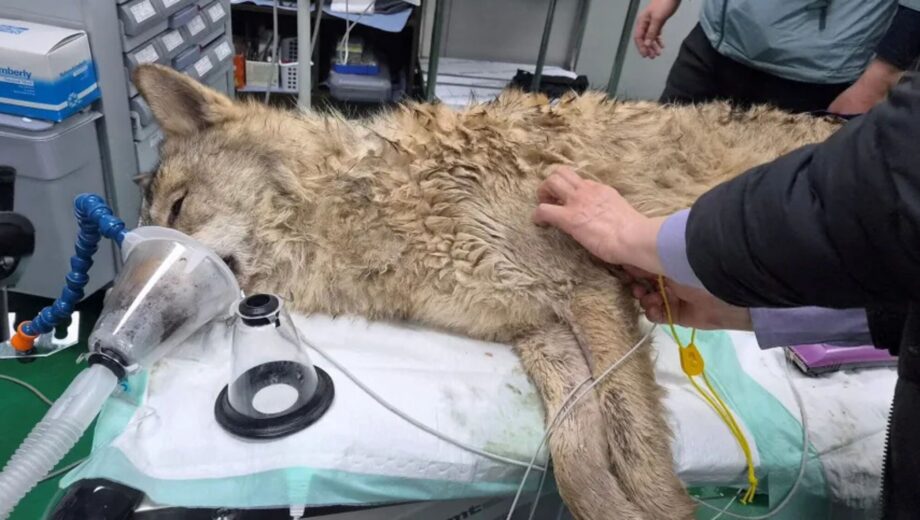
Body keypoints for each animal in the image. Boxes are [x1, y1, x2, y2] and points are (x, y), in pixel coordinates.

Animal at [133, 64, 840, 519]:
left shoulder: (589, 289)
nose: (123, 320)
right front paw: (615, 507)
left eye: (179, 208)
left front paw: (663, 510)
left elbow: (634, 445)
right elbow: (578, 460)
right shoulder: (539, 331)